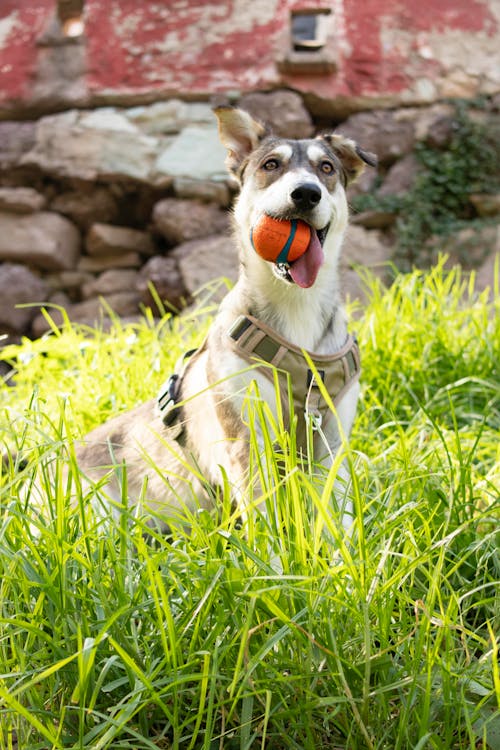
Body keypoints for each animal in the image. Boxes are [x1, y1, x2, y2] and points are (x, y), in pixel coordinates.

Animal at [53, 107, 376, 536]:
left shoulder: (333, 440)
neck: (297, 306)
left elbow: (336, 519)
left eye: (326, 168)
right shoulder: (246, 437)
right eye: (271, 165)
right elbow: (266, 521)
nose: (307, 192)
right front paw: (276, 557)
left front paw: (345, 555)